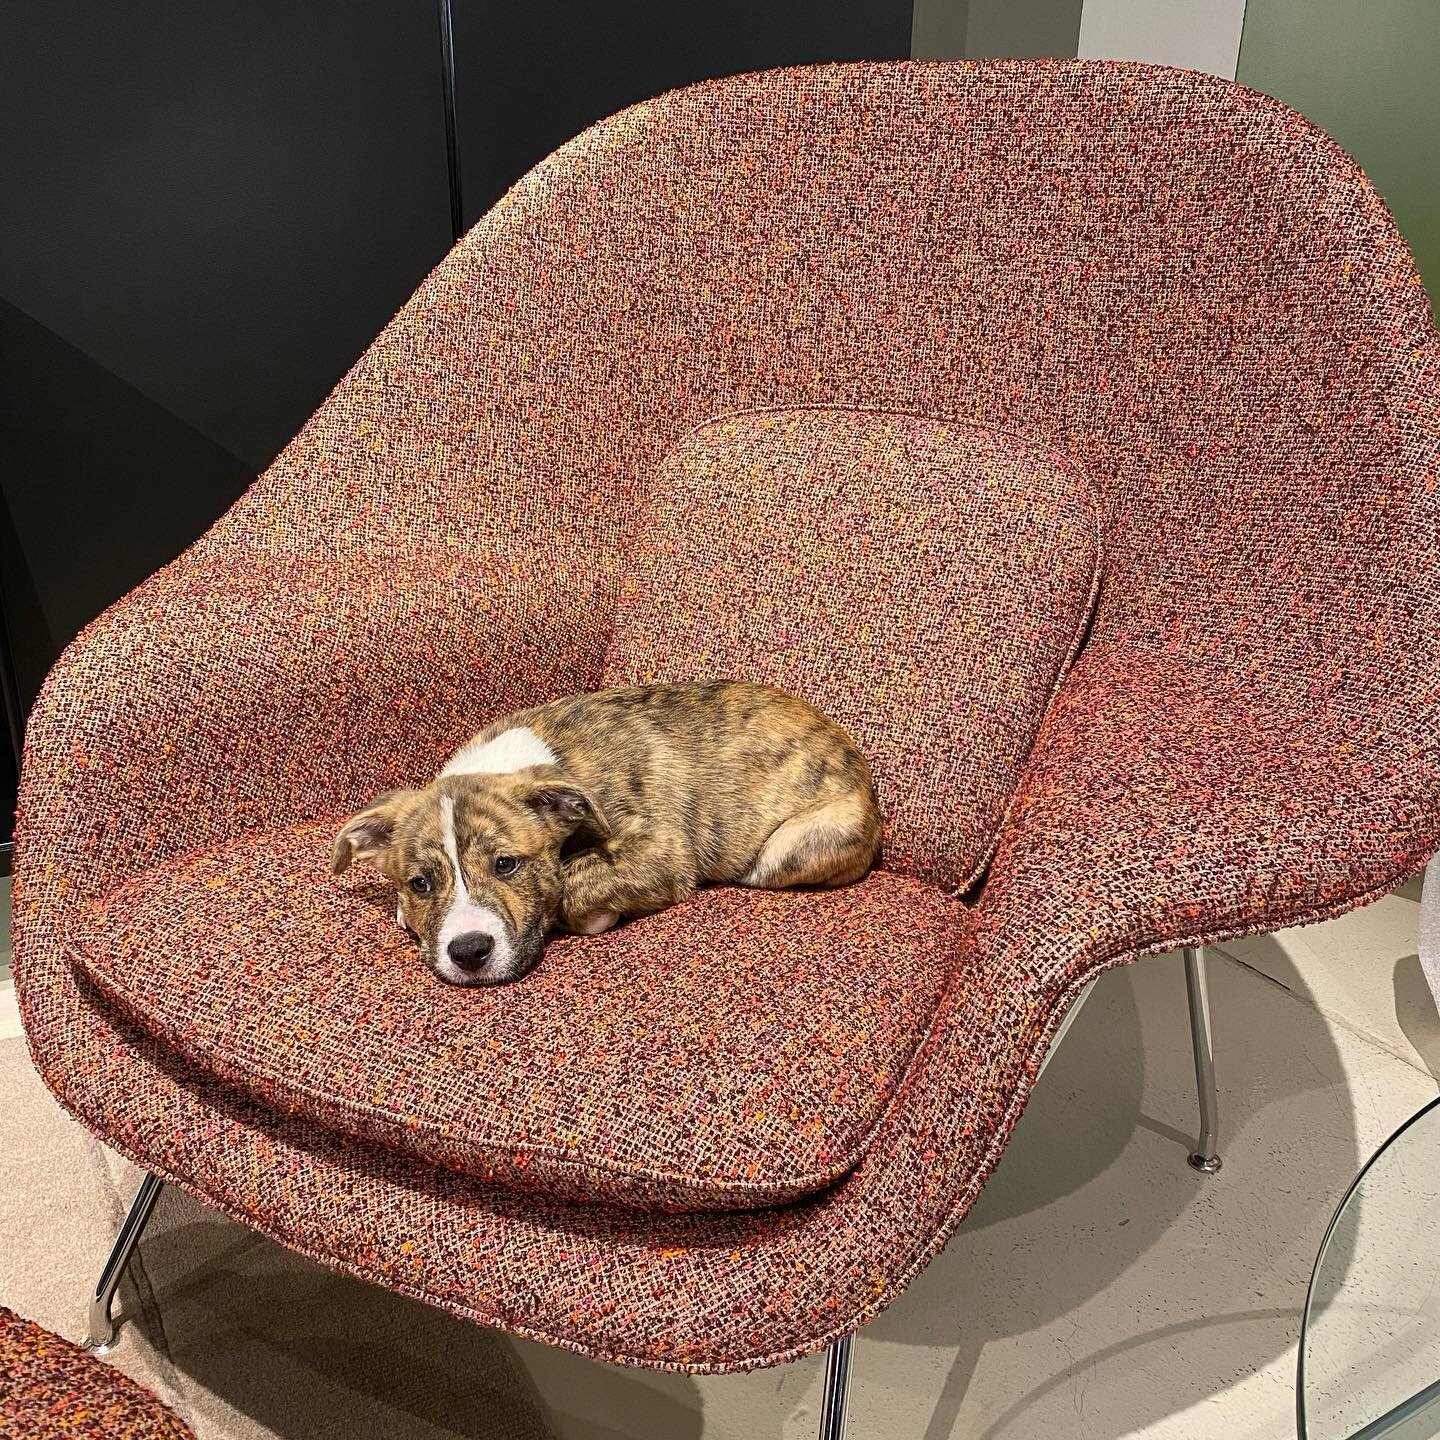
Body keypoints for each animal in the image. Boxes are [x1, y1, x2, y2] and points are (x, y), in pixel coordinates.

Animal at [331, 679, 881, 984]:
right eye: (419, 883)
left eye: (506, 865)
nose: (468, 953)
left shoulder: (660, 852)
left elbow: (572, 886)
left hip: (792, 844)